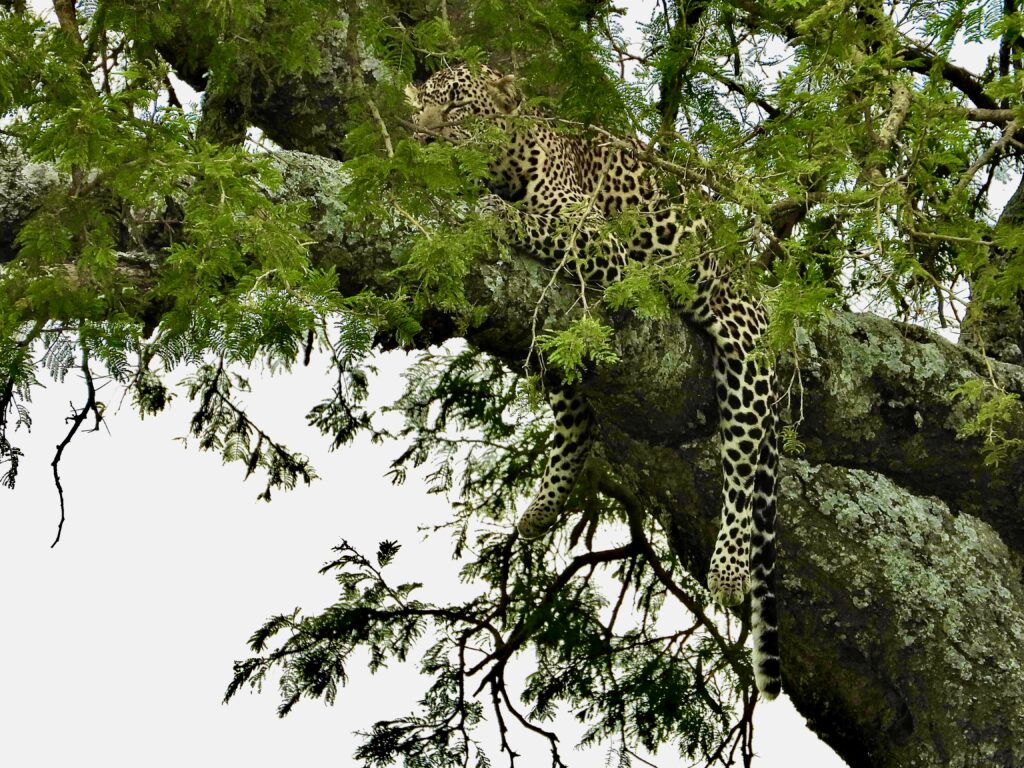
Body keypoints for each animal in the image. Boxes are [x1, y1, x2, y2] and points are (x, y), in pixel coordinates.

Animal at [403, 67, 778, 704]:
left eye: (455, 109)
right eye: (421, 107)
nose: (421, 139)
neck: (508, 165)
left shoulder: (606, 248)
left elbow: (534, 221)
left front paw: (491, 211)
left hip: (744, 349)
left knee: (744, 465)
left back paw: (728, 568)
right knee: (576, 418)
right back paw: (541, 508)